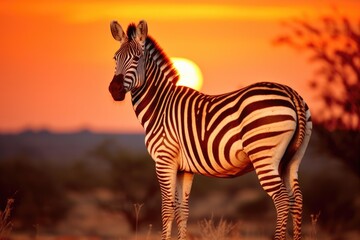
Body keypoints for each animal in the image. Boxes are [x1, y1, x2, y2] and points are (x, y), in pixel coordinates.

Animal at [107, 19, 312, 239]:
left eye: (136, 58)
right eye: (115, 58)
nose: (114, 90)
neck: (160, 106)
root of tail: (291, 94)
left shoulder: (164, 160)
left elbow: (167, 208)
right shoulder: (184, 168)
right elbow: (182, 209)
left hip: (263, 153)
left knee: (282, 200)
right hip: (292, 159)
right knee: (297, 198)